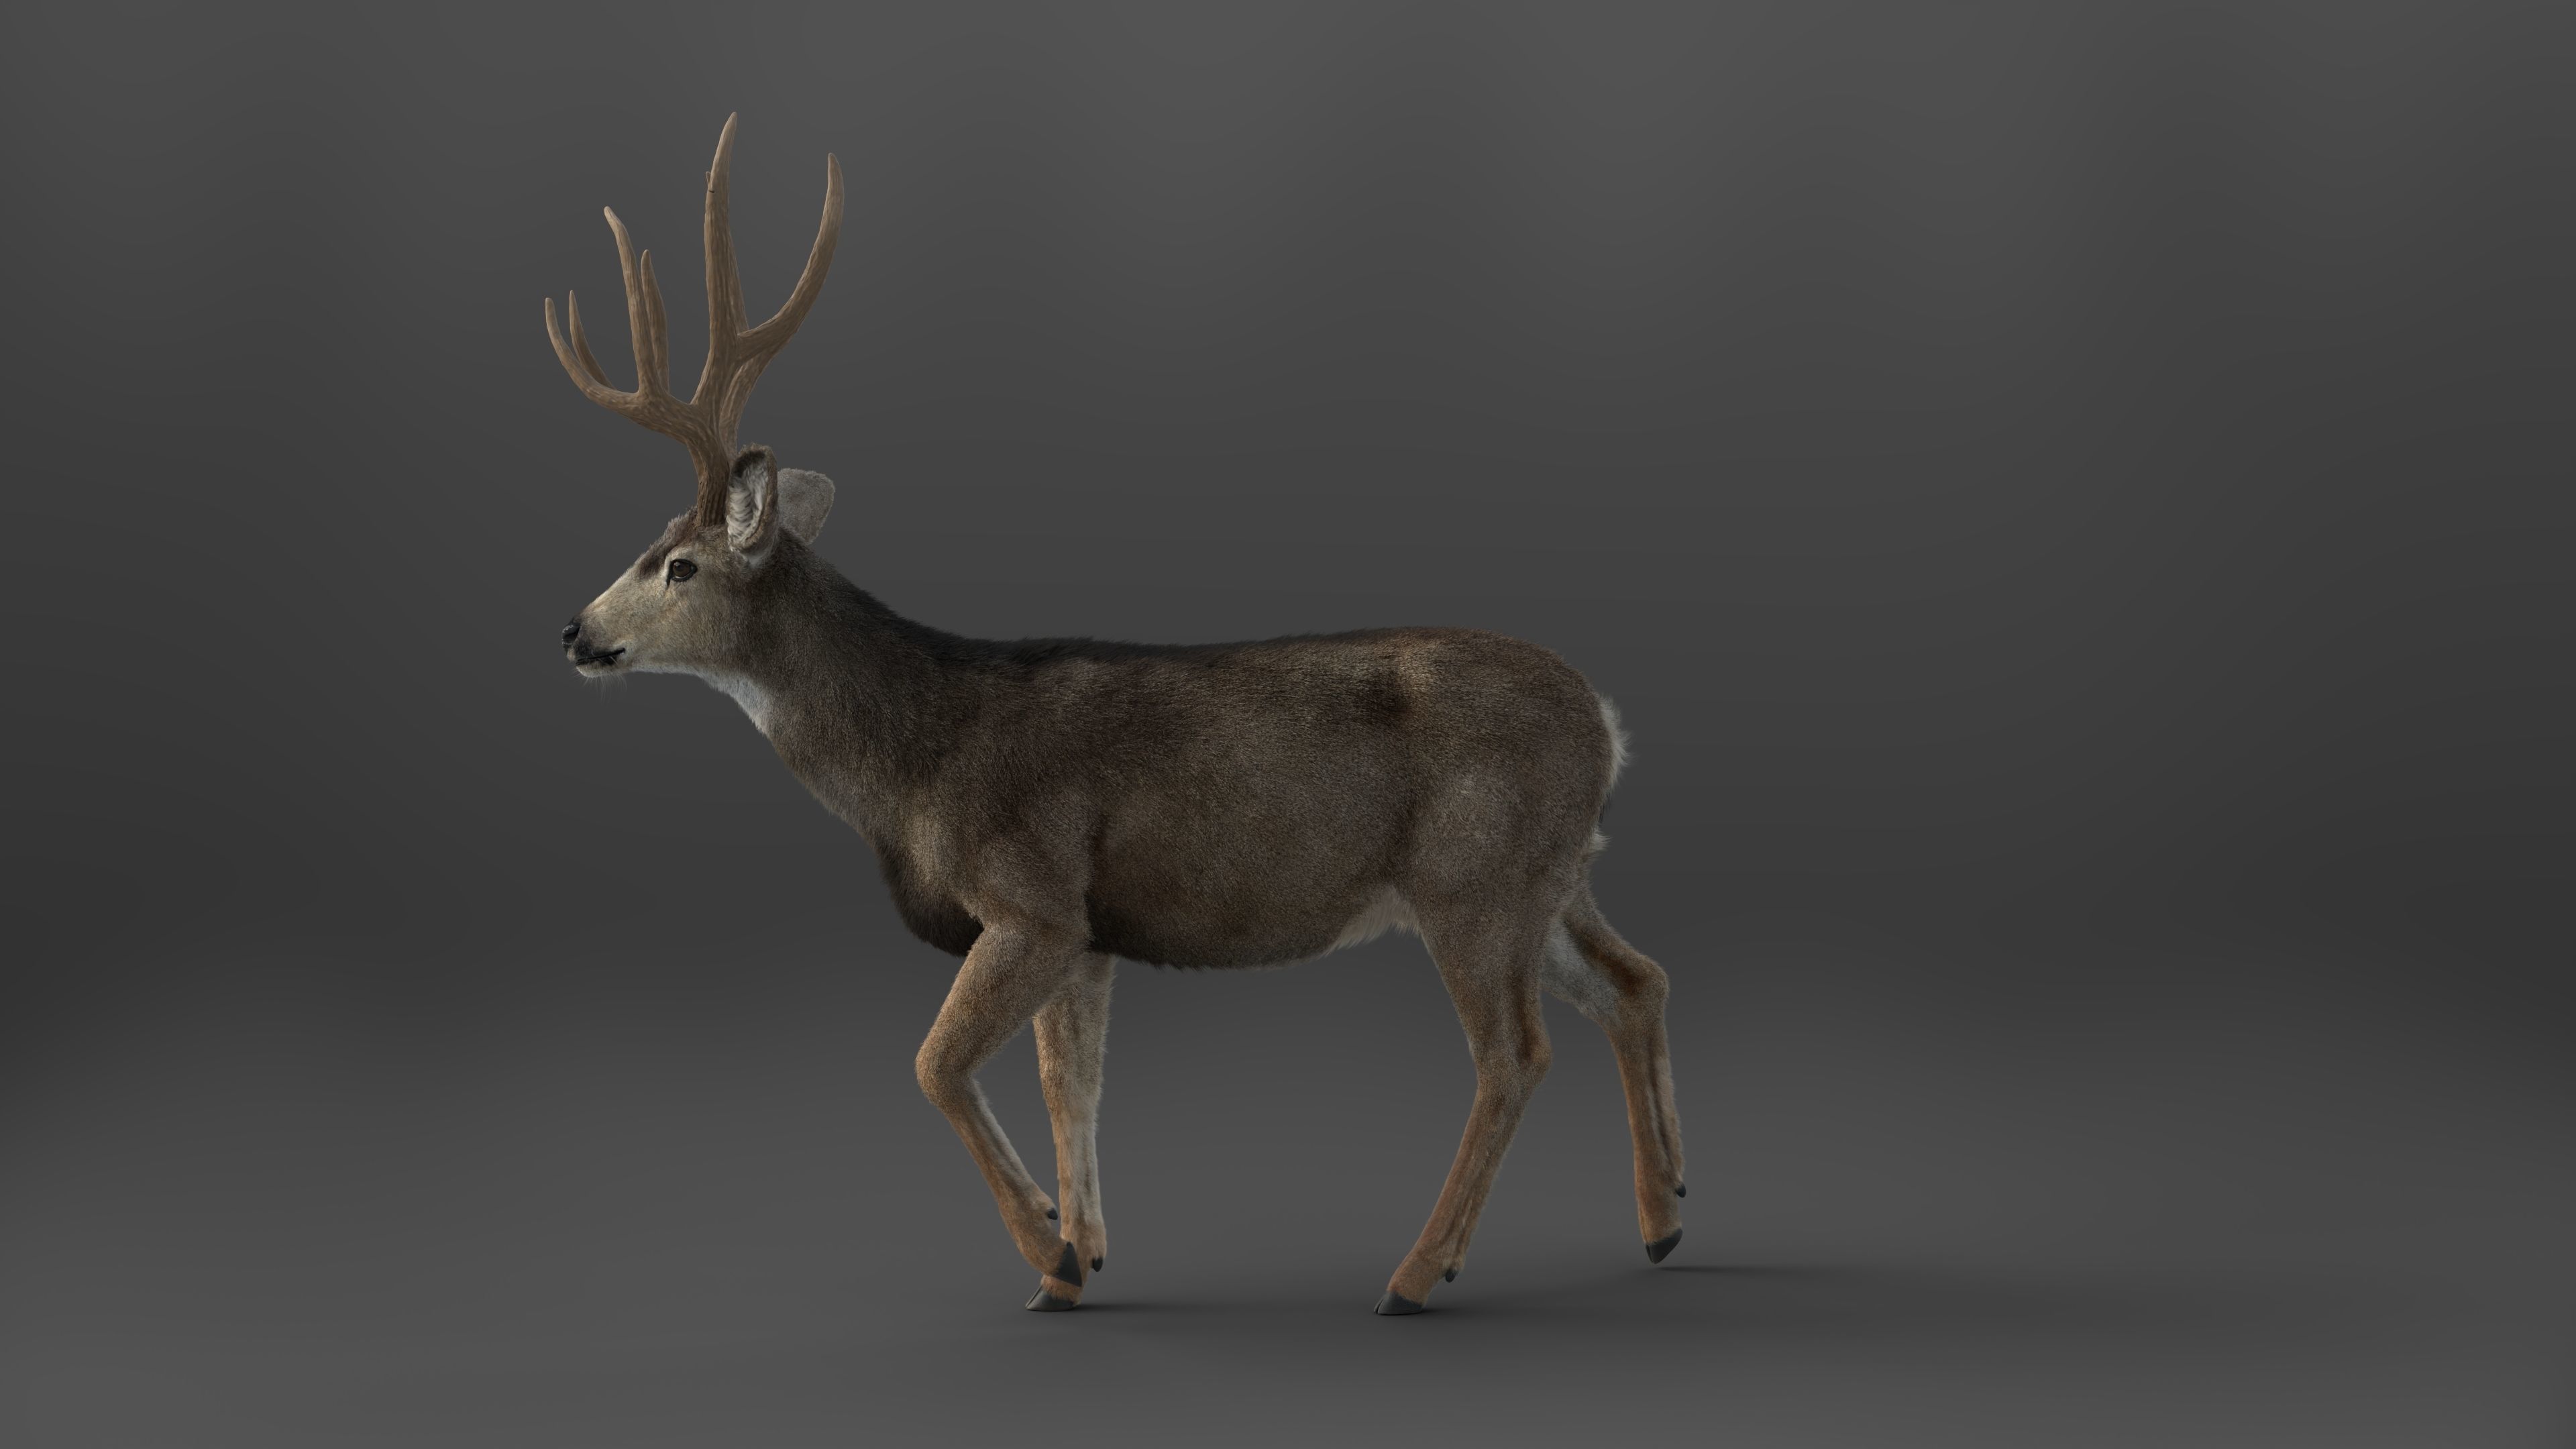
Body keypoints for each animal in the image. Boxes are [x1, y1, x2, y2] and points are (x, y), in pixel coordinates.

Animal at [548, 116, 1686, 1314]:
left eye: (676, 564)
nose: (575, 631)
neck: (913, 763)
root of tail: (1607, 724)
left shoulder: (1031, 894)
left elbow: (937, 1062)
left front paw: (1046, 1247)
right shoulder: (1091, 931)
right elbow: (1071, 1082)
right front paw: (1077, 1262)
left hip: (1472, 878)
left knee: (1514, 1054)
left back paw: (1418, 1273)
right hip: (1549, 875)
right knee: (1635, 981)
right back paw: (1664, 1220)